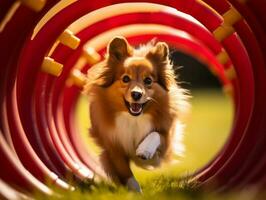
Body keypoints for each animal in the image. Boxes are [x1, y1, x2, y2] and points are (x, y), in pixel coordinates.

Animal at [83, 36, 189, 192]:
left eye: (148, 80)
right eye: (126, 79)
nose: (136, 94)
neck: (133, 119)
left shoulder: (166, 143)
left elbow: (155, 135)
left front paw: (144, 151)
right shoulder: (113, 149)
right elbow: (126, 174)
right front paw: (136, 192)